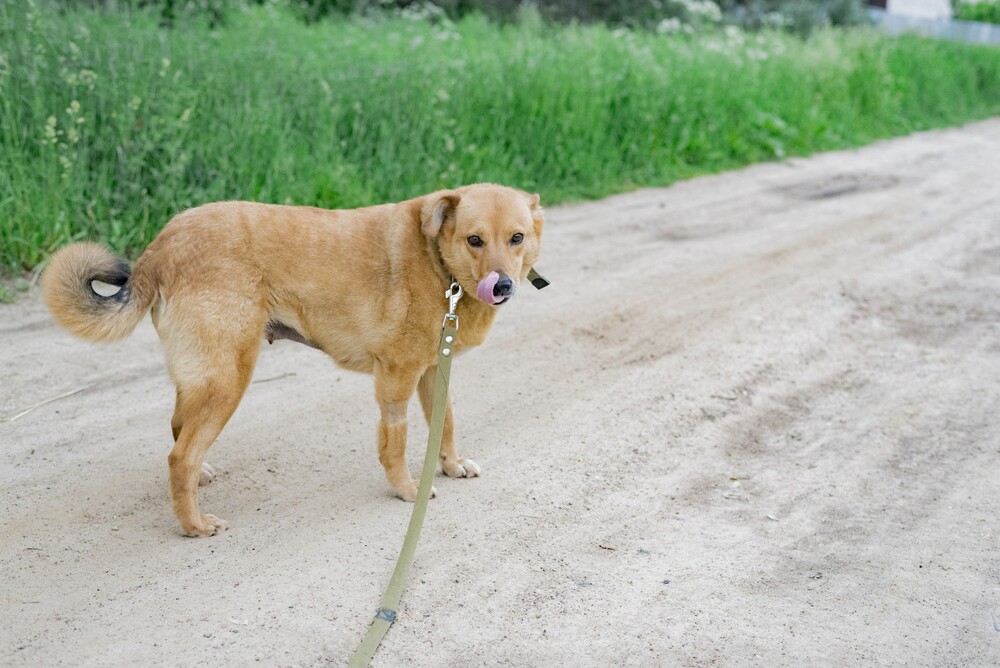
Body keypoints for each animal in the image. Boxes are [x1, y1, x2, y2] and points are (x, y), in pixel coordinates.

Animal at [43, 183, 544, 536]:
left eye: (516, 238)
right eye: (474, 240)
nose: (502, 286)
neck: (439, 263)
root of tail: (162, 245)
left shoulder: (434, 371)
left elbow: (447, 423)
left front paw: (452, 464)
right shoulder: (396, 378)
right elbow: (396, 444)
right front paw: (406, 491)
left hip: (206, 376)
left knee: (178, 429)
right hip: (228, 378)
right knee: (179, 456)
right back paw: (193, 525)